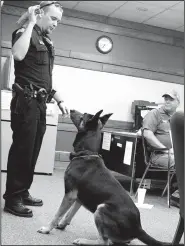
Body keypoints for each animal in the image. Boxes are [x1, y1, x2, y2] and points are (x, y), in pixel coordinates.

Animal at [38, 110, 171, 246]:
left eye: (83, 115)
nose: (70, 110)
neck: (87, 153)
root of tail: (138, 229)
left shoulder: (70, 195)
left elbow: (57, 214)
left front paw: (47, 229)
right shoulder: (79, 197)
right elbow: (70, 213)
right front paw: (62, 225)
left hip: (101, 208)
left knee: (103, 242)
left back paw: (83, 241)